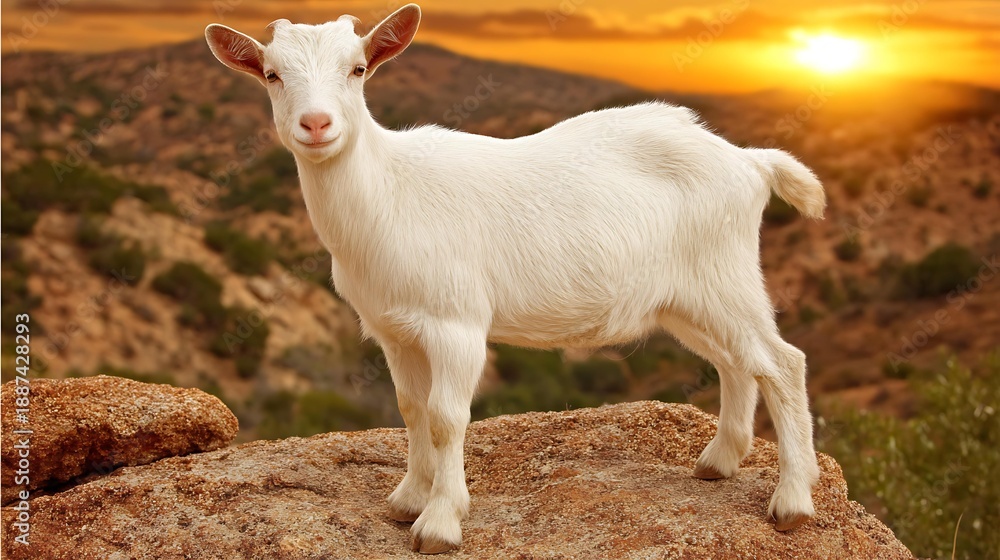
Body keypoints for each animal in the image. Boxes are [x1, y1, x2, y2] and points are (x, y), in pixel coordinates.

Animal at [206, 5, 825, 554]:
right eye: (271, 74)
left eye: (358, 68)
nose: (316, 125)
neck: (388, 191)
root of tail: (750, 162)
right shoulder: (393, 330)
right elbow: (410, 407)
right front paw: (408, 498)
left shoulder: (455, 323)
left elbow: (445, 417)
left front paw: (440, 522)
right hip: (687, 297)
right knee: (736, 362)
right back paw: (719, 462)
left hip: (725, 275)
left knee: (783, 363)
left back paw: (792, 502)